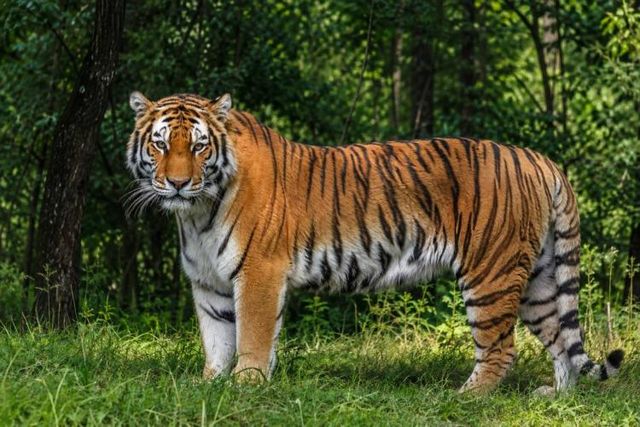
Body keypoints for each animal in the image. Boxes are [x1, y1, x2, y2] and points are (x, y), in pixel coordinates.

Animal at [125, 91, 623, 394]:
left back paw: (465, 397)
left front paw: (246, 386)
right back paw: (554, 396)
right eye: (160, 144)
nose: (177, 183)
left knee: (502, 350)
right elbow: (217, 339)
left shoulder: (259, 273)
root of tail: (539, 159)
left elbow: (251, 336)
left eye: (199, 146)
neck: (196, 213)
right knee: (561, 338)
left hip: (491, 274)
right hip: (538, 278)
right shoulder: (209, 283)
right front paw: (209, 385)